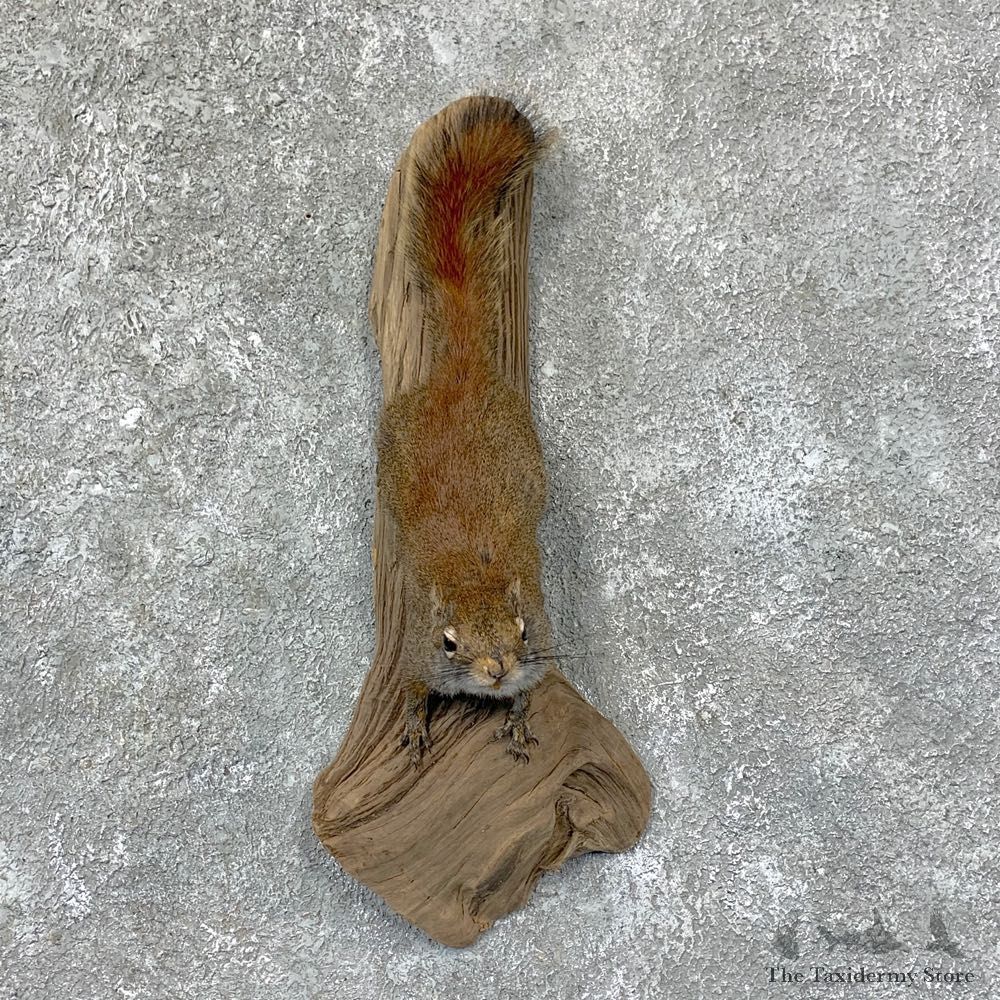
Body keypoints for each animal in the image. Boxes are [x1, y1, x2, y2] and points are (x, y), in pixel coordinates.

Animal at [376, 97, 553, 766]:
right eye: (448, 643)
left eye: (523, 629)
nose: (497, 668)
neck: (474, 574)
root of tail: (459, 375)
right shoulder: (414, 655)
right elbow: (409, 690)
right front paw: (414, 729)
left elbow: (534, 689)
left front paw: (520, 717)